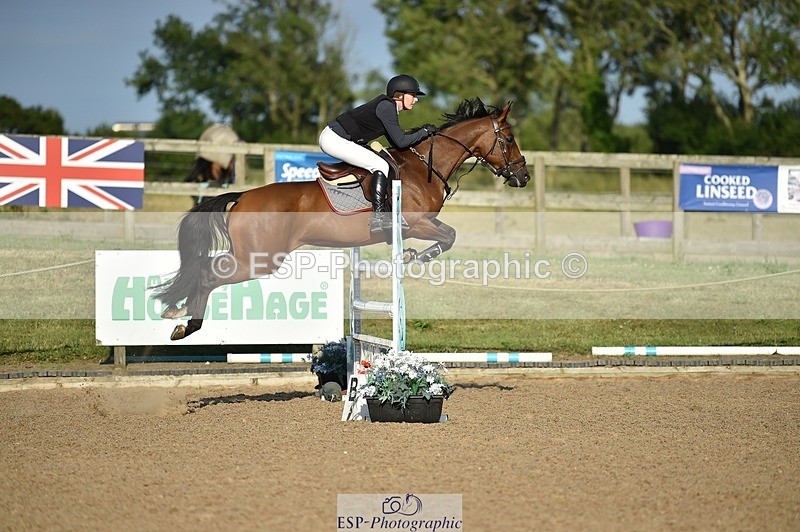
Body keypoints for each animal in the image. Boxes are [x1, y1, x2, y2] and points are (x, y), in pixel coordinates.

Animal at [157, 98, 531, 341]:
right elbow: (448, 236)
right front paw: (412, 257)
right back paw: (186, 324)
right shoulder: (414, 222)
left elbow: (447, 237)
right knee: (208, 272)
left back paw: (178, 316)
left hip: (250, 255)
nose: (523, 176)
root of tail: (244, 196)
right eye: (509, 138)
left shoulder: (420, 224)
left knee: (205, 267)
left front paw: (412, 256)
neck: (424, 165)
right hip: (258, 259)